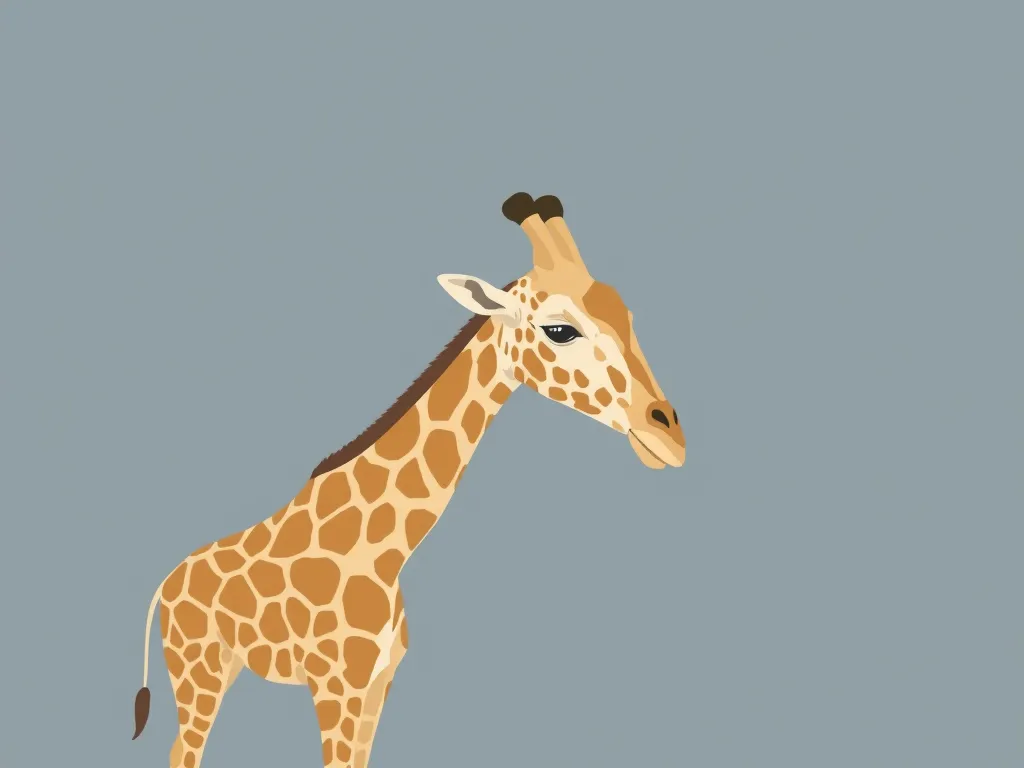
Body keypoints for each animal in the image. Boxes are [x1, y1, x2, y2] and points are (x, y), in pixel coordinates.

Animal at [131, 192, 687, 768]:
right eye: (559, 330)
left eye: (627, 314)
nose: (670, 435)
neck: (386, 553)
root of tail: (162, 589)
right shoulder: (337, 684)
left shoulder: (378, 682)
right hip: (198, 669)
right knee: (184, 750)